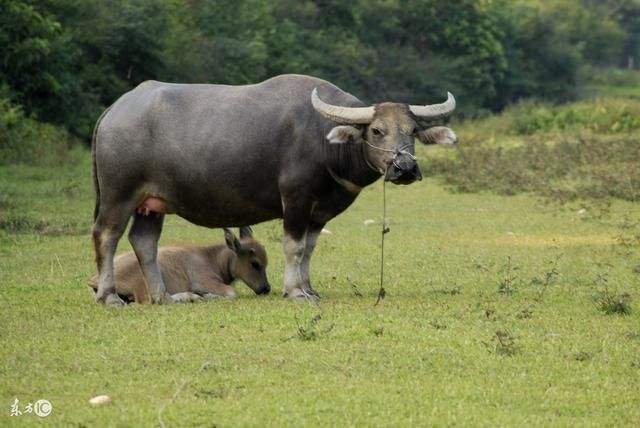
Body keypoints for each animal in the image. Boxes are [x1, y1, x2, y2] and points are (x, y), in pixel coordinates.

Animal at [87, 229, 268, 302]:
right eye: (255, 263)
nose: (266, 288)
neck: (211, 258)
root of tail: (94, 279)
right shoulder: (203, 282)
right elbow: (232, 292)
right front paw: (207, 296)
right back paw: (192, 297)